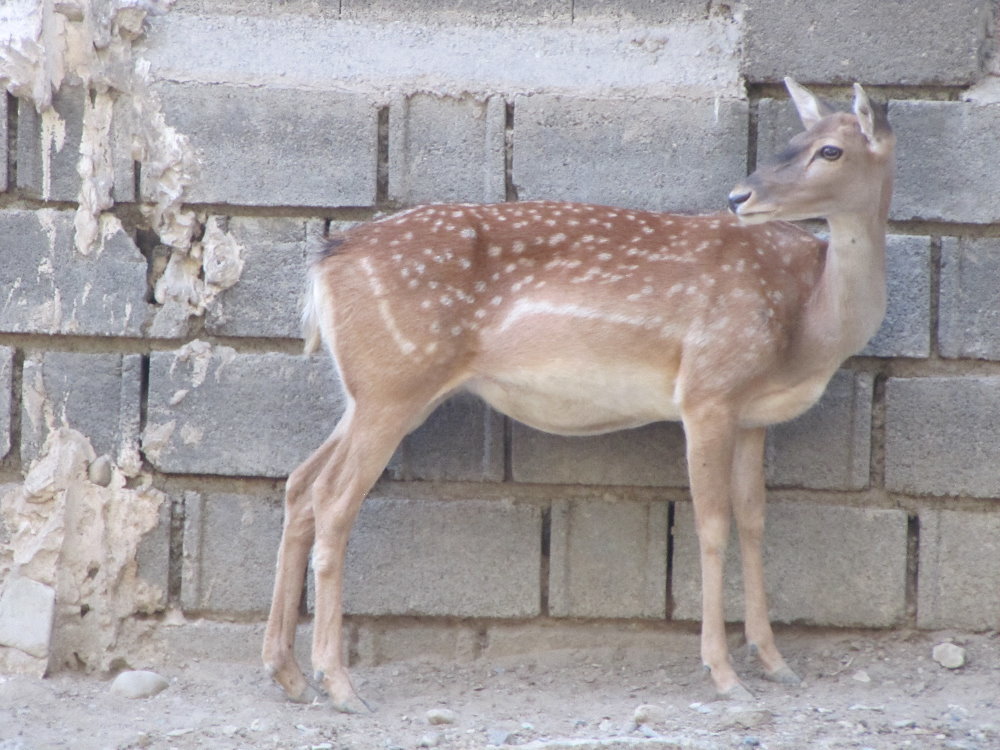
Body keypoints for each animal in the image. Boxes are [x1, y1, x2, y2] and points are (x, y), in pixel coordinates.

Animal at [262, 78, 895, 711]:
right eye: (799, 140)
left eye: (828, 149)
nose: (741, 195)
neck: (809, 326)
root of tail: (323, 265)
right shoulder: (706, 390)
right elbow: (712, 524)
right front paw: (722, 673)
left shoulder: (752, 415)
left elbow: (754, 519)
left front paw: (775, 661)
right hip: (393, 383)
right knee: (334, 499)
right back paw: (339, 684)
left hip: (372, 391)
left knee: (301, 483)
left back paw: (288, 673)